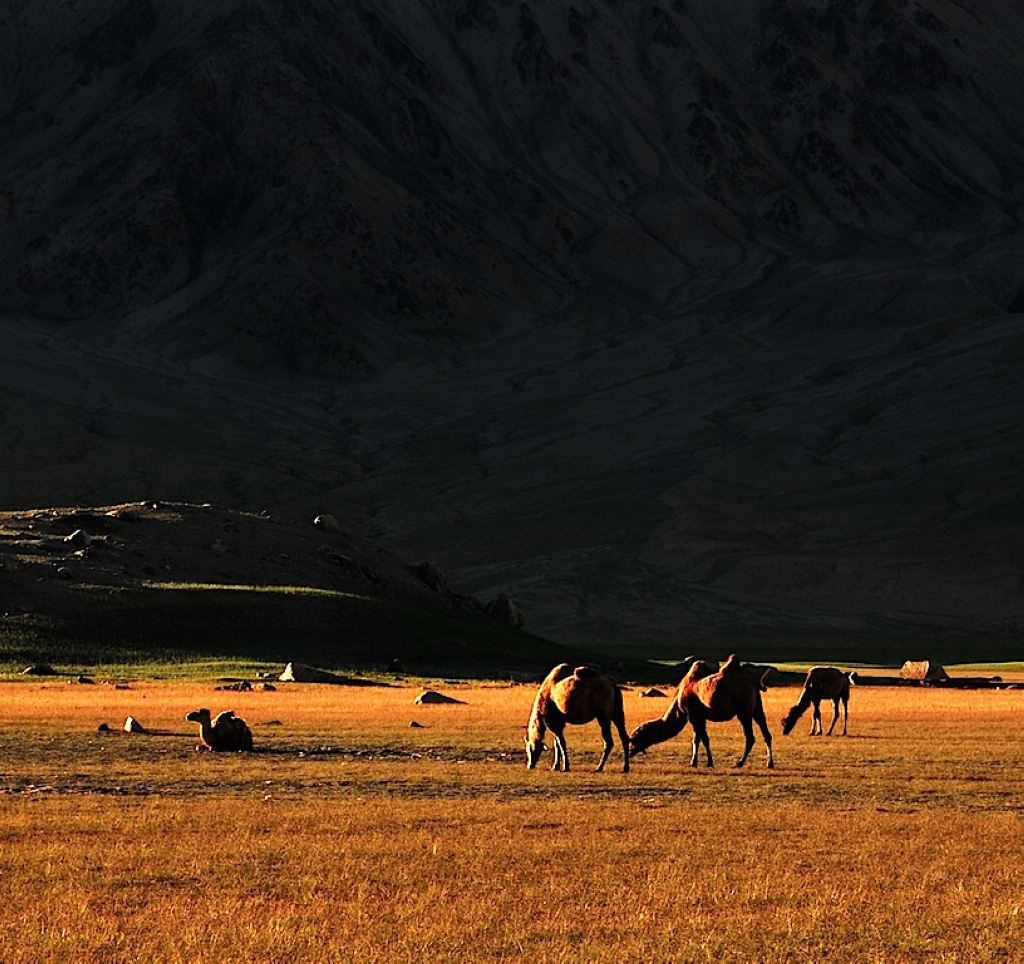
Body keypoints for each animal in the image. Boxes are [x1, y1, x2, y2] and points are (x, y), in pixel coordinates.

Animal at [622, 651, 774, 770]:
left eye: (634, 737)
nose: (629, 751)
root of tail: (754, 684)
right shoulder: (701, 716)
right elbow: (704, 738)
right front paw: (706, 762)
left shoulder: (693, 715)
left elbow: (697, 739)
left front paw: (695, 763)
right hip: (757, 708)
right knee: (766, 734)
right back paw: (769, 763)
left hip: (744, 711)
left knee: (750, 737)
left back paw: (739, 763)